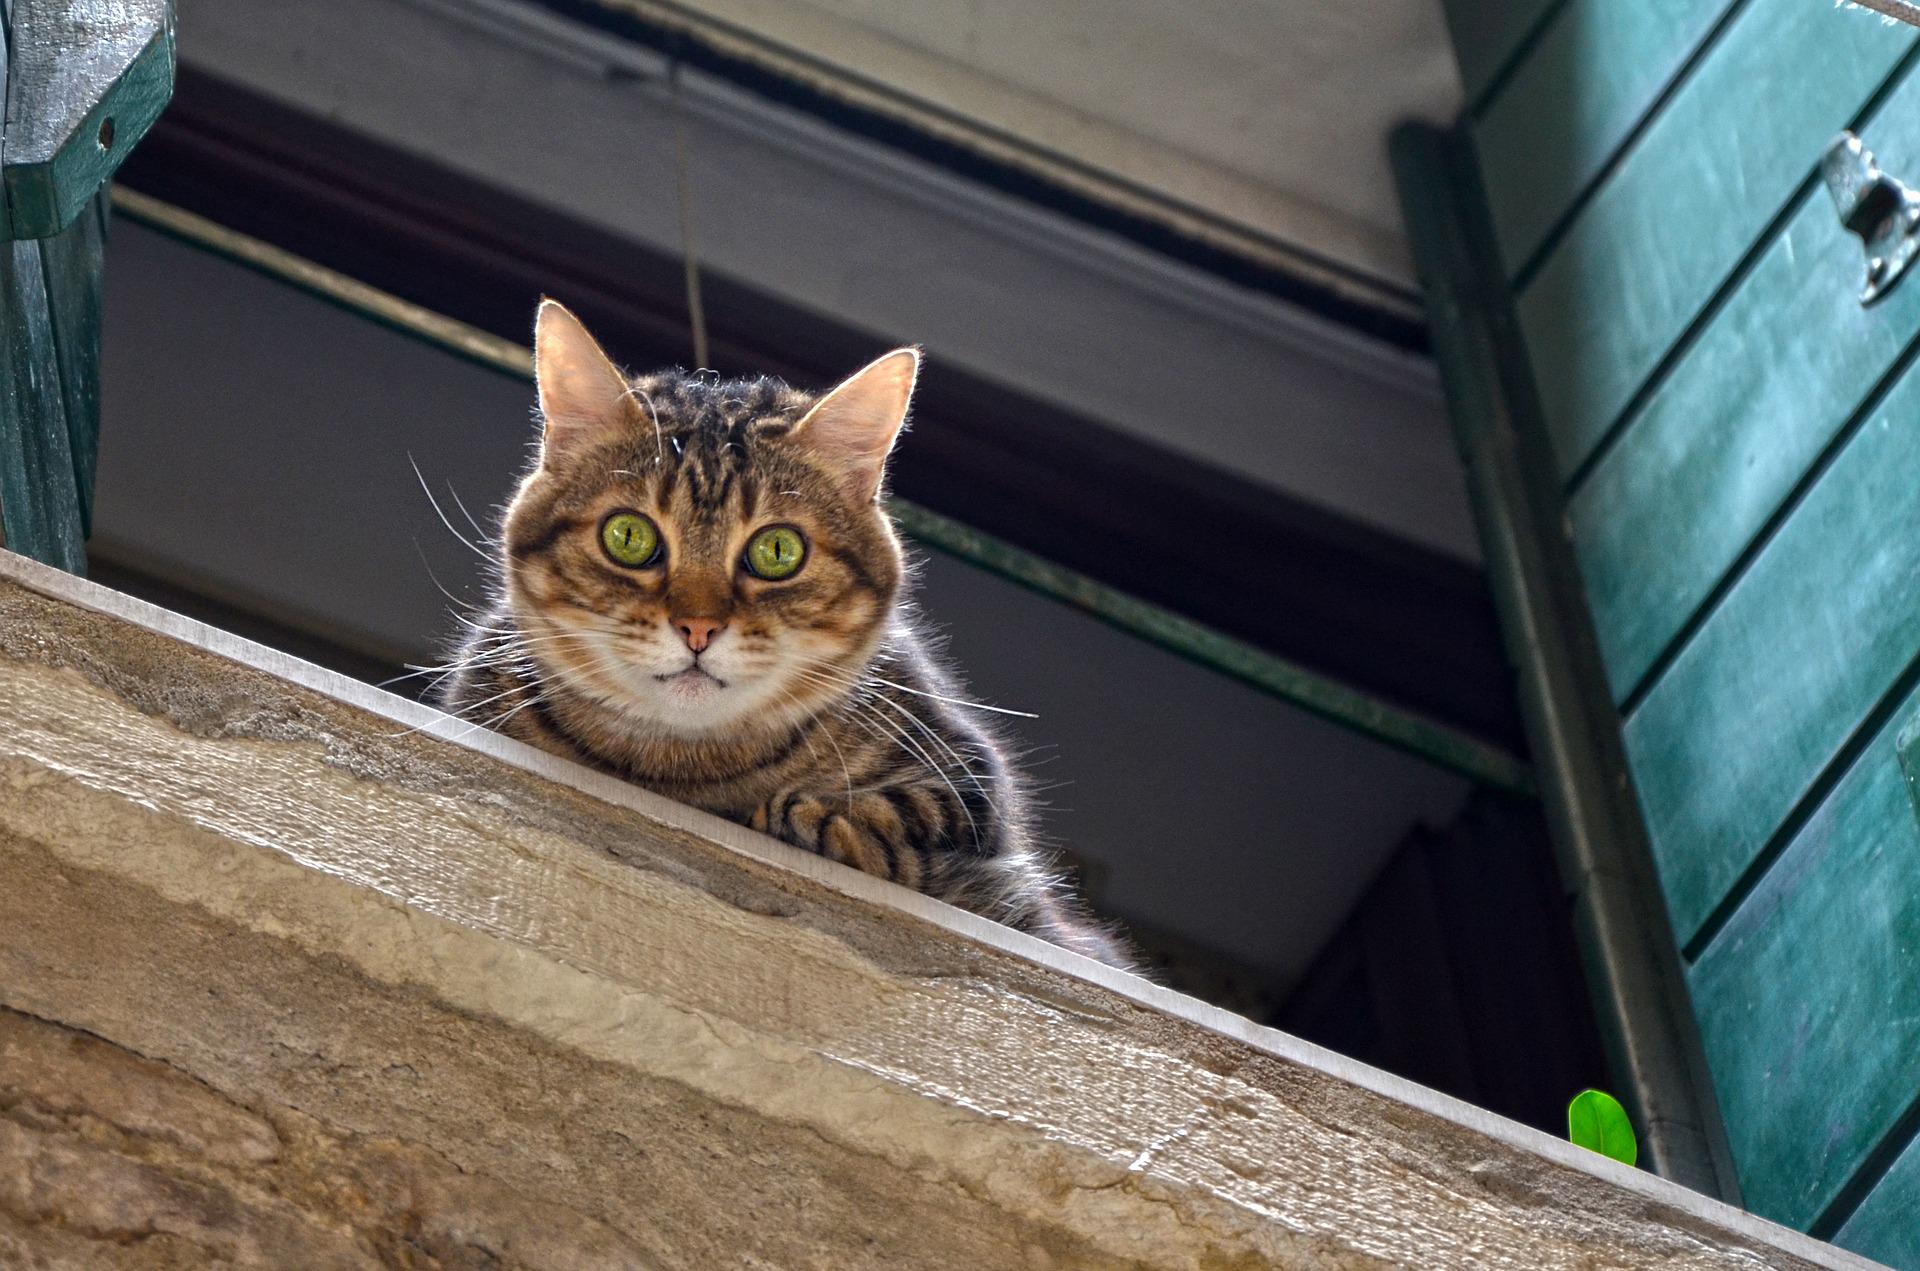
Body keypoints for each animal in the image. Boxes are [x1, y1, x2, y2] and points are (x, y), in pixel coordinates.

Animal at [435, 303, 1128, 971]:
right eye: (628, 537)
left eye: (777, 551)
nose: (698, 627)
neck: (683, 775)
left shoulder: (967, 776)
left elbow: (903, 815)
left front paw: (813, 819)